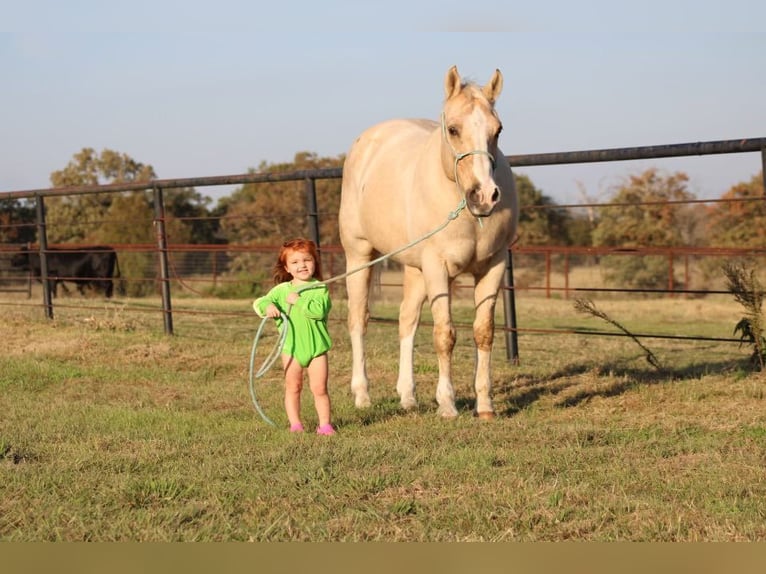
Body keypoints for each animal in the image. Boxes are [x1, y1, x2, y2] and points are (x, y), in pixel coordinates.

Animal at [342, 65, 520, 420]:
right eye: (453, 129)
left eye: (498, 130)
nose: (484, 195)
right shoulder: (438, 268)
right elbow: (444, 334)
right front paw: (447, 404)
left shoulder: (492, 267)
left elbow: (483, 332)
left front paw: (485, 405)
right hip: (359, 255)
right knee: (358, 319)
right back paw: (362, 395)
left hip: (414, 269)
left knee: (406, 320)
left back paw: (408, 396)